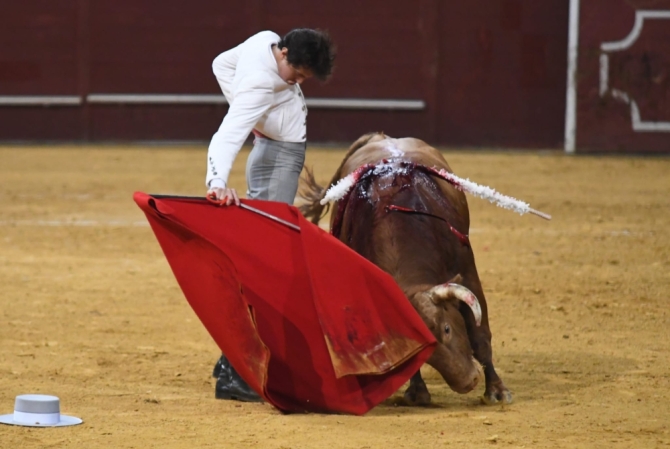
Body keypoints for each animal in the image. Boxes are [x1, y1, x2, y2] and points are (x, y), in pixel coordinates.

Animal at [300, 131, 516, 404]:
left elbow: (480, 336)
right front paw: (418, 392)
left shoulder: (467, 270)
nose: (468, 382)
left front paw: (497, 390)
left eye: (447, 328)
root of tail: (381, 137)